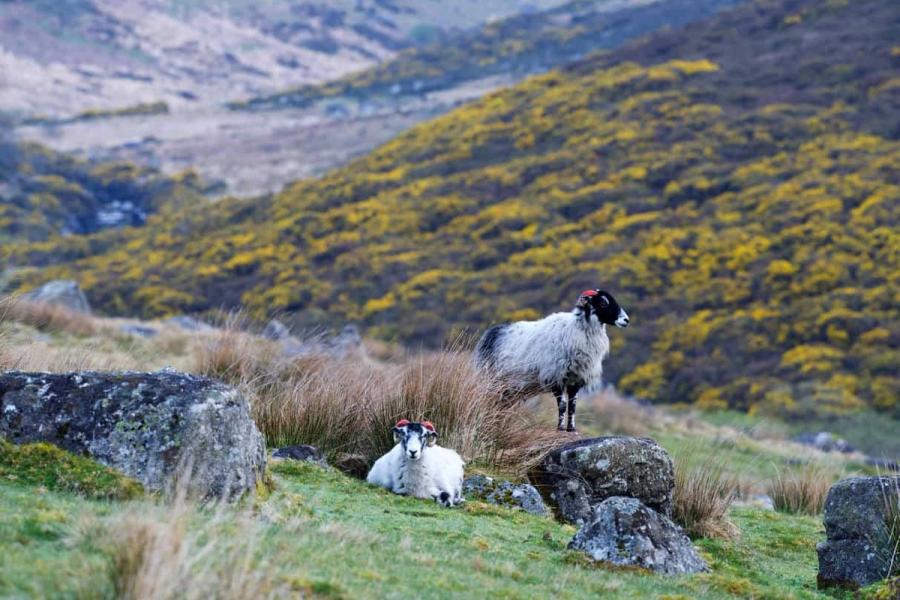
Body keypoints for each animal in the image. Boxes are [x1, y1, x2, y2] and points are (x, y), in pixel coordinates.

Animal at [474, 288, 629, 433]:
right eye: (603, 302)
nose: (626, 320)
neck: (578, 329)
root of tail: (492, 333)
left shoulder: (575, 379)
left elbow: (572, 406)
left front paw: (571, 428)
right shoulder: (555, 377)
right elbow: (562, 405)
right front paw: (560, 428)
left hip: (508, 388)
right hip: (494, 381)